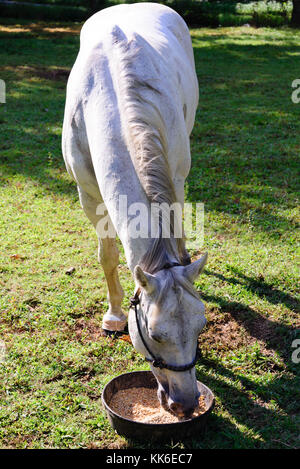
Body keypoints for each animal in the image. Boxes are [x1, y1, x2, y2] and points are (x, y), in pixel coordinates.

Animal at [62, 0, 207, 416]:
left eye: (202, 327)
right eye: (155, 334)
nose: (185, 403)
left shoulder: (175, 179)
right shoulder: (88, 195)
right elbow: (107, 256)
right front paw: (112, 316)